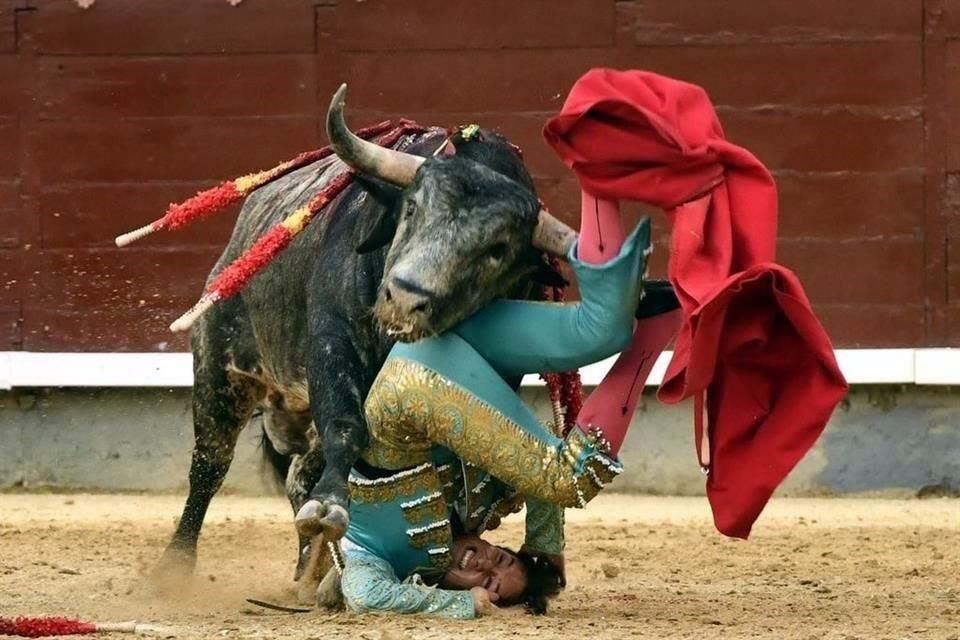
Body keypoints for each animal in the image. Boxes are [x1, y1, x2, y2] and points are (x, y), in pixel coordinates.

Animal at [156, 85, 576, 596]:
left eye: (497, 250)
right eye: (412, 208)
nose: (405, 297)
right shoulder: (332, 343)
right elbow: (346, 427)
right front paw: (332, 508)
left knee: (298, 473)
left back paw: (309, 569)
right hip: (221, 364)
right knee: (210, 464)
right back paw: (174, 568)